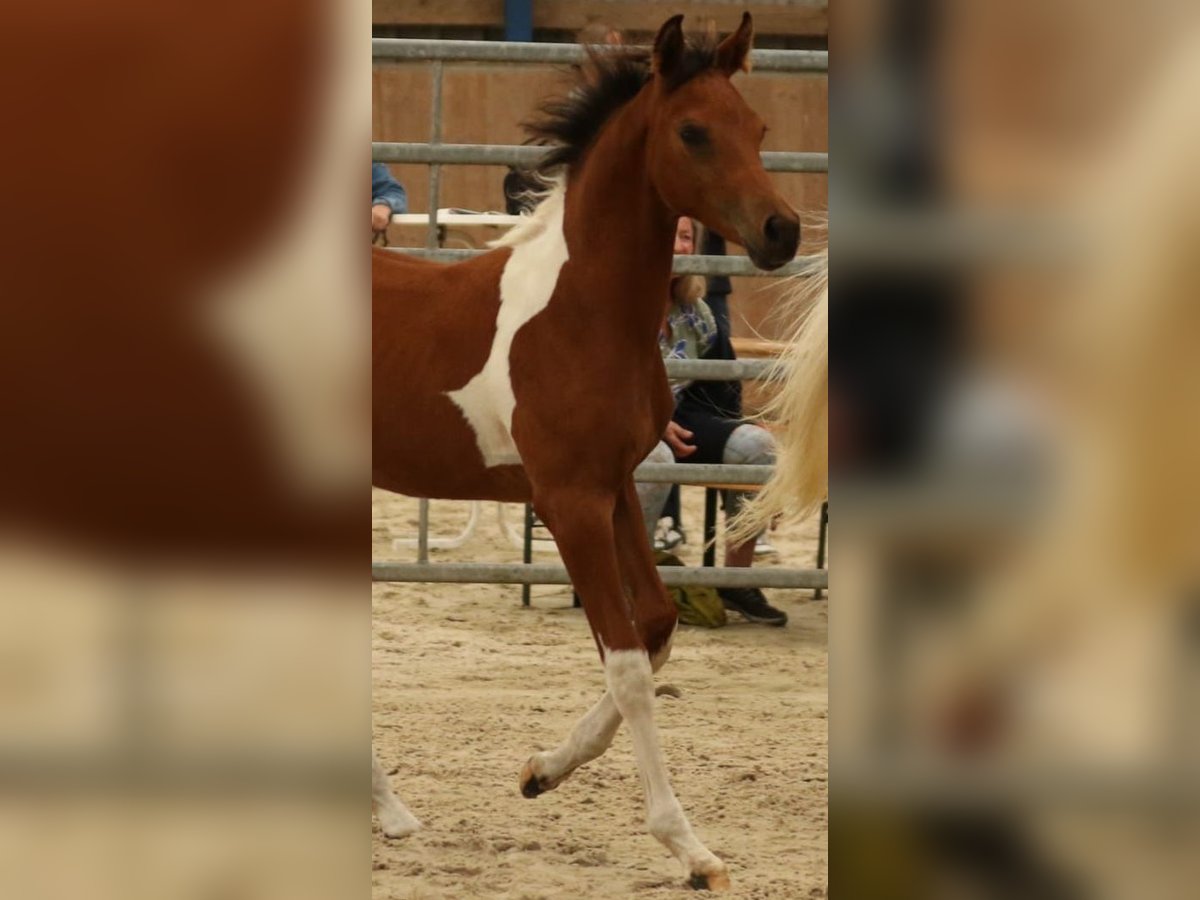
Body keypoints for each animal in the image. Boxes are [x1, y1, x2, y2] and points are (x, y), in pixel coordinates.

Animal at [369, 14, 801, 897]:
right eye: (693, 131)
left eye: (758, 128)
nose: (782, 232)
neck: (582, 312)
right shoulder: (567, 501)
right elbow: (630, 664)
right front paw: (690, 848)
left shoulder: (617, 487)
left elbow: (657, 625)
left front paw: (541, 770)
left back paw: (390, 811)